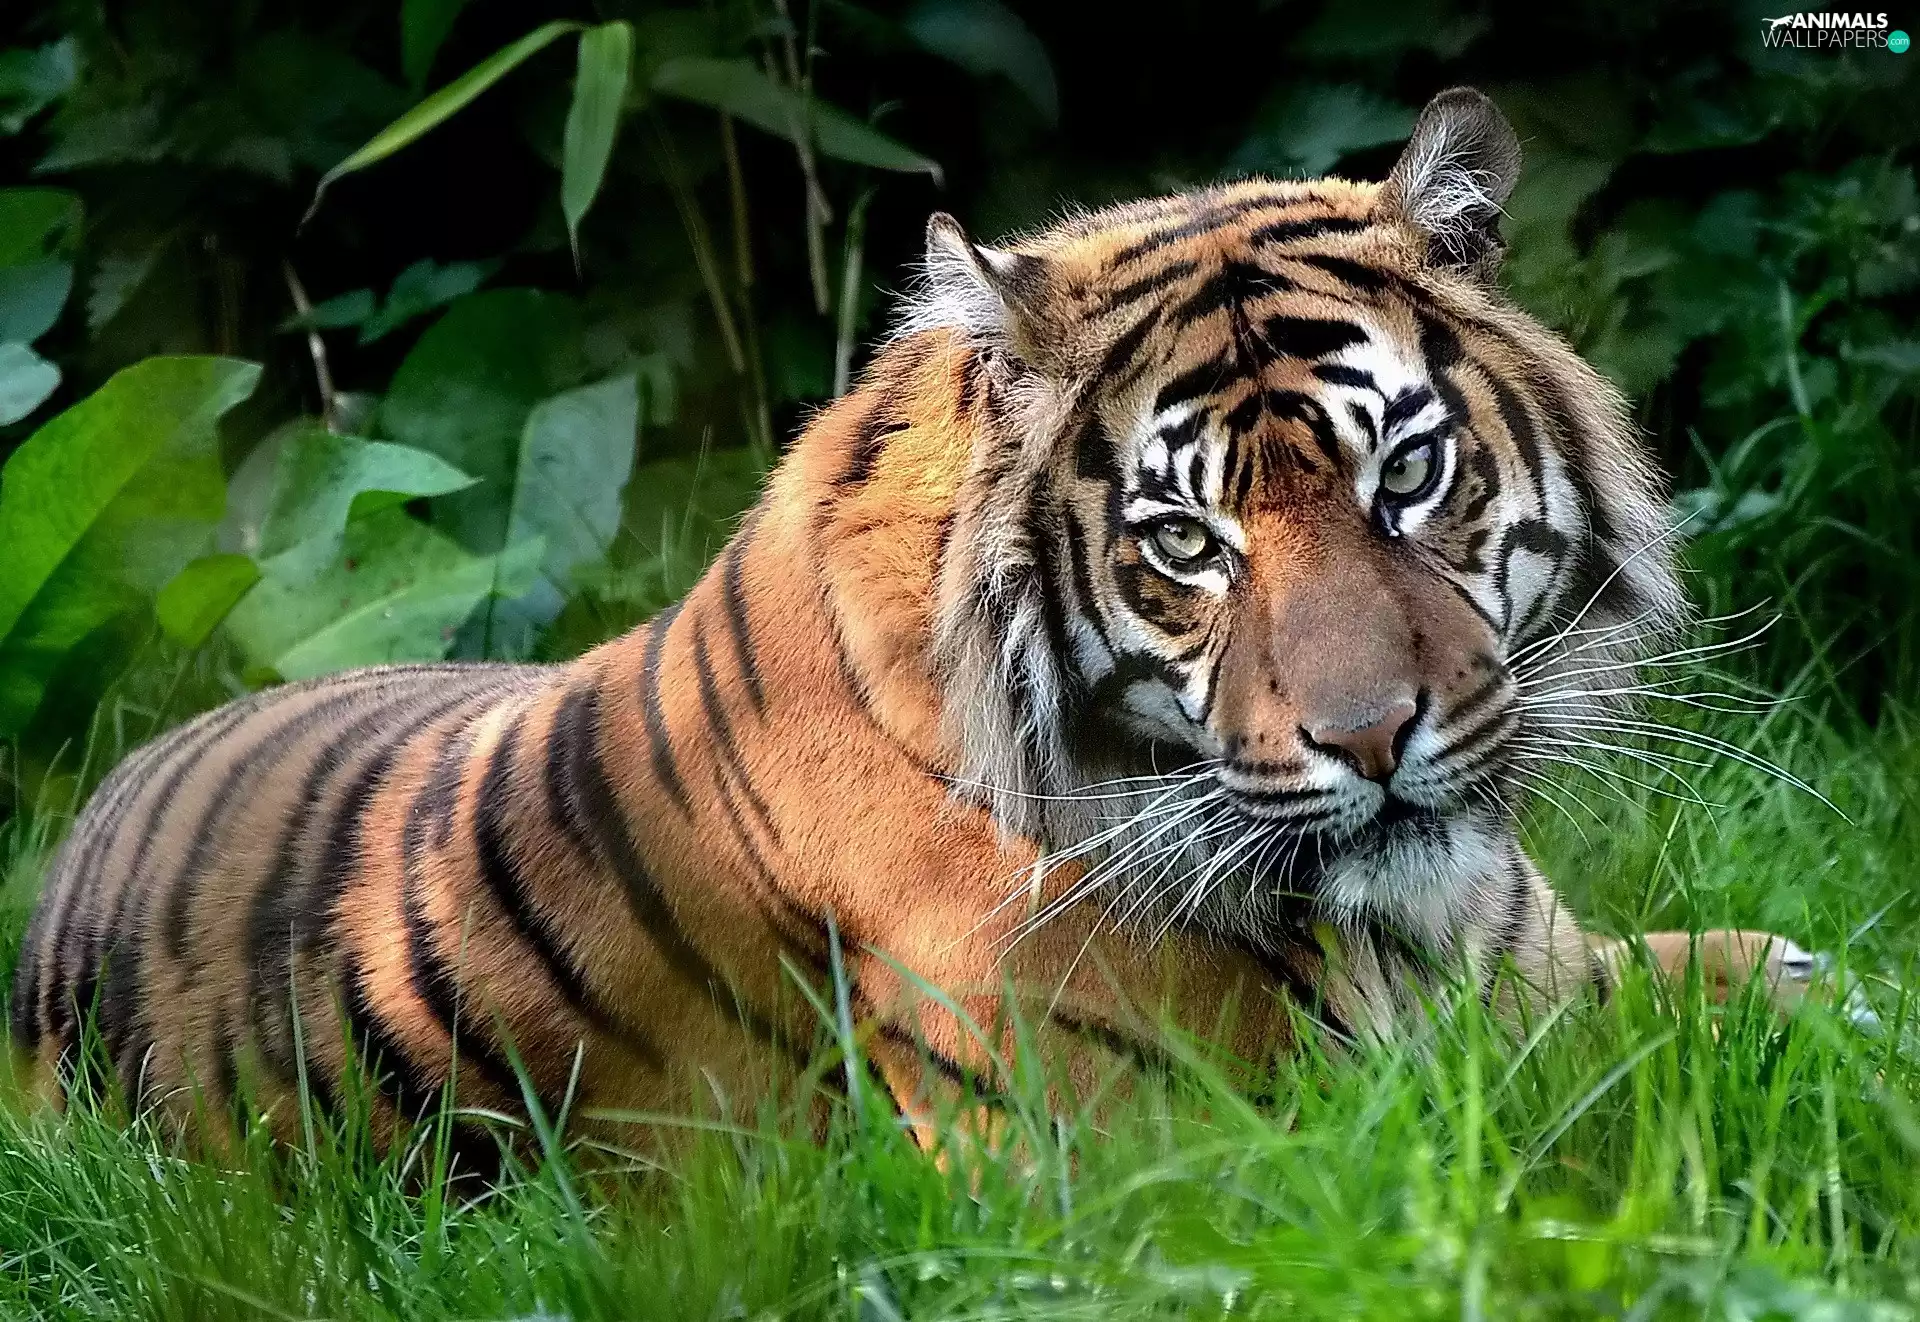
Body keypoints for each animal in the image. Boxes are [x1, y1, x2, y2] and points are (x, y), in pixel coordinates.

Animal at [8, 88, 1822, 1168]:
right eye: (1188, 541)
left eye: (1409, 473)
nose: (1373, 740)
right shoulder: (1167, 1156)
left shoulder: (1545, 976)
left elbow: (1784, 976)